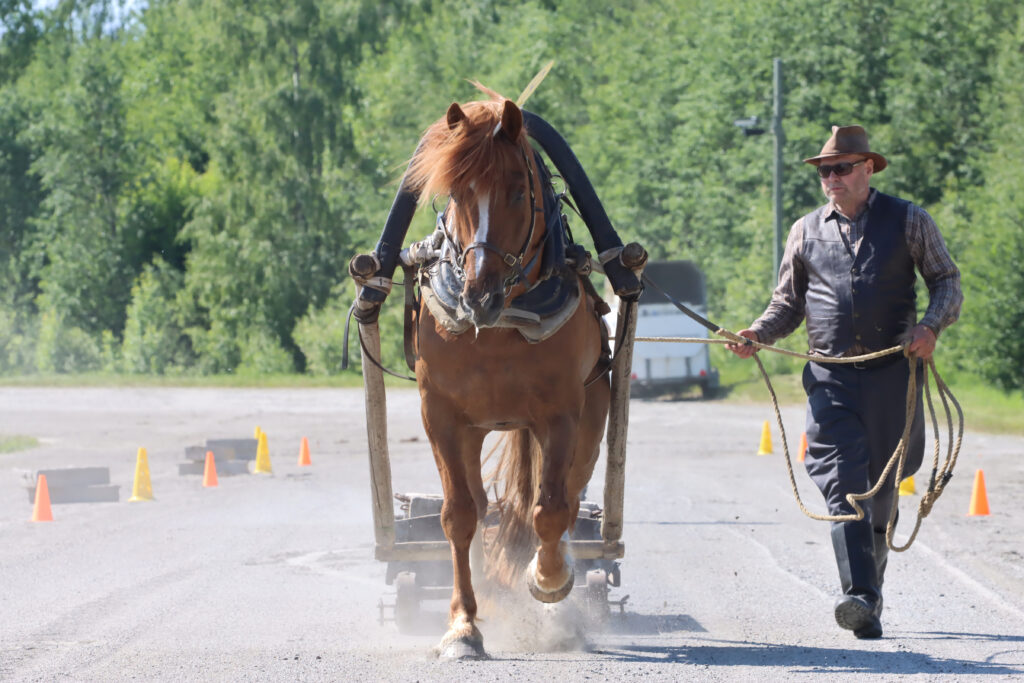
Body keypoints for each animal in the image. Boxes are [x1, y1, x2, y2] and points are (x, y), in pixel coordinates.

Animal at [397, 88, 606, 659]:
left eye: (517, 190)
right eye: (457, 192)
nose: (479, 295)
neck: (500, 325)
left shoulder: (560, 416)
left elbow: (549, 510)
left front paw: (549, 579)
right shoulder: (442, 418)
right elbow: (459, 516)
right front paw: (463, 626)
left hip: (591, 418)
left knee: (566, 501)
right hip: (474, 431)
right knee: (483, 505)